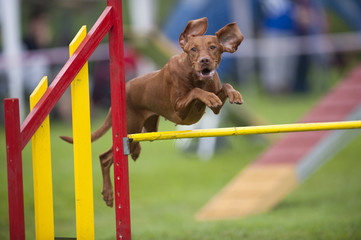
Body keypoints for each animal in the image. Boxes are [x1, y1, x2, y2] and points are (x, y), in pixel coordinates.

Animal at [60, 17, 243, 206]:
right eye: (193, 49)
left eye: (213, 47)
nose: (204, 61)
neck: (195, 76)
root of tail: (123, 89)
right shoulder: (179, 109)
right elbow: (195, 91)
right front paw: (208, 95)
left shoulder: (215, 108)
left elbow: (225, 87)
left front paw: (234, 94)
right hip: (129, 128)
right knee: (105, 157)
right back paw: (109, 194)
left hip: (145, 128)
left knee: (127, 147)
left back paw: (135, 152)